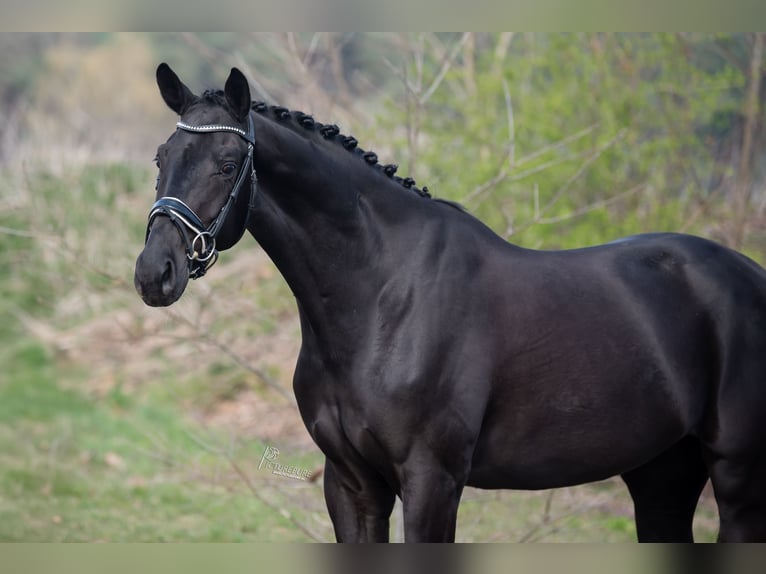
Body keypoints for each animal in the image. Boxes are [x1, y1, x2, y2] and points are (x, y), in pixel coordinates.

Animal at [134, 63, 766, 542]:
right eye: (162, 156)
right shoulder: (351, 485)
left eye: (225, 164)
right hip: (662, 475)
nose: (154, 273)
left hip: (736, 477)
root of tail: (748, 274)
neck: (382, 297)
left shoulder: (431, 482)